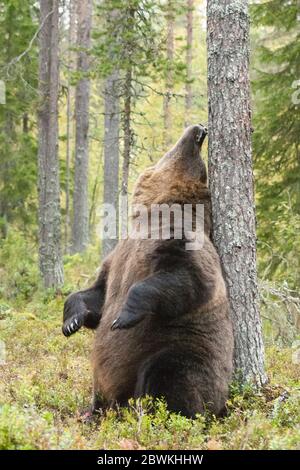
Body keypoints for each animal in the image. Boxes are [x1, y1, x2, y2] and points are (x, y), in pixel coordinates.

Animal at [62, 125, 233, 418]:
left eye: (202, 169)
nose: (200, 129)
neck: (155, 209)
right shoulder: (116, 258)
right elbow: (97, 293)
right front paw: (72, 320)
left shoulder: (181, 242)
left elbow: (188, 278)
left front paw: (123, 317)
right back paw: (92, 413)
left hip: (183, 349)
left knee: (172, 376)